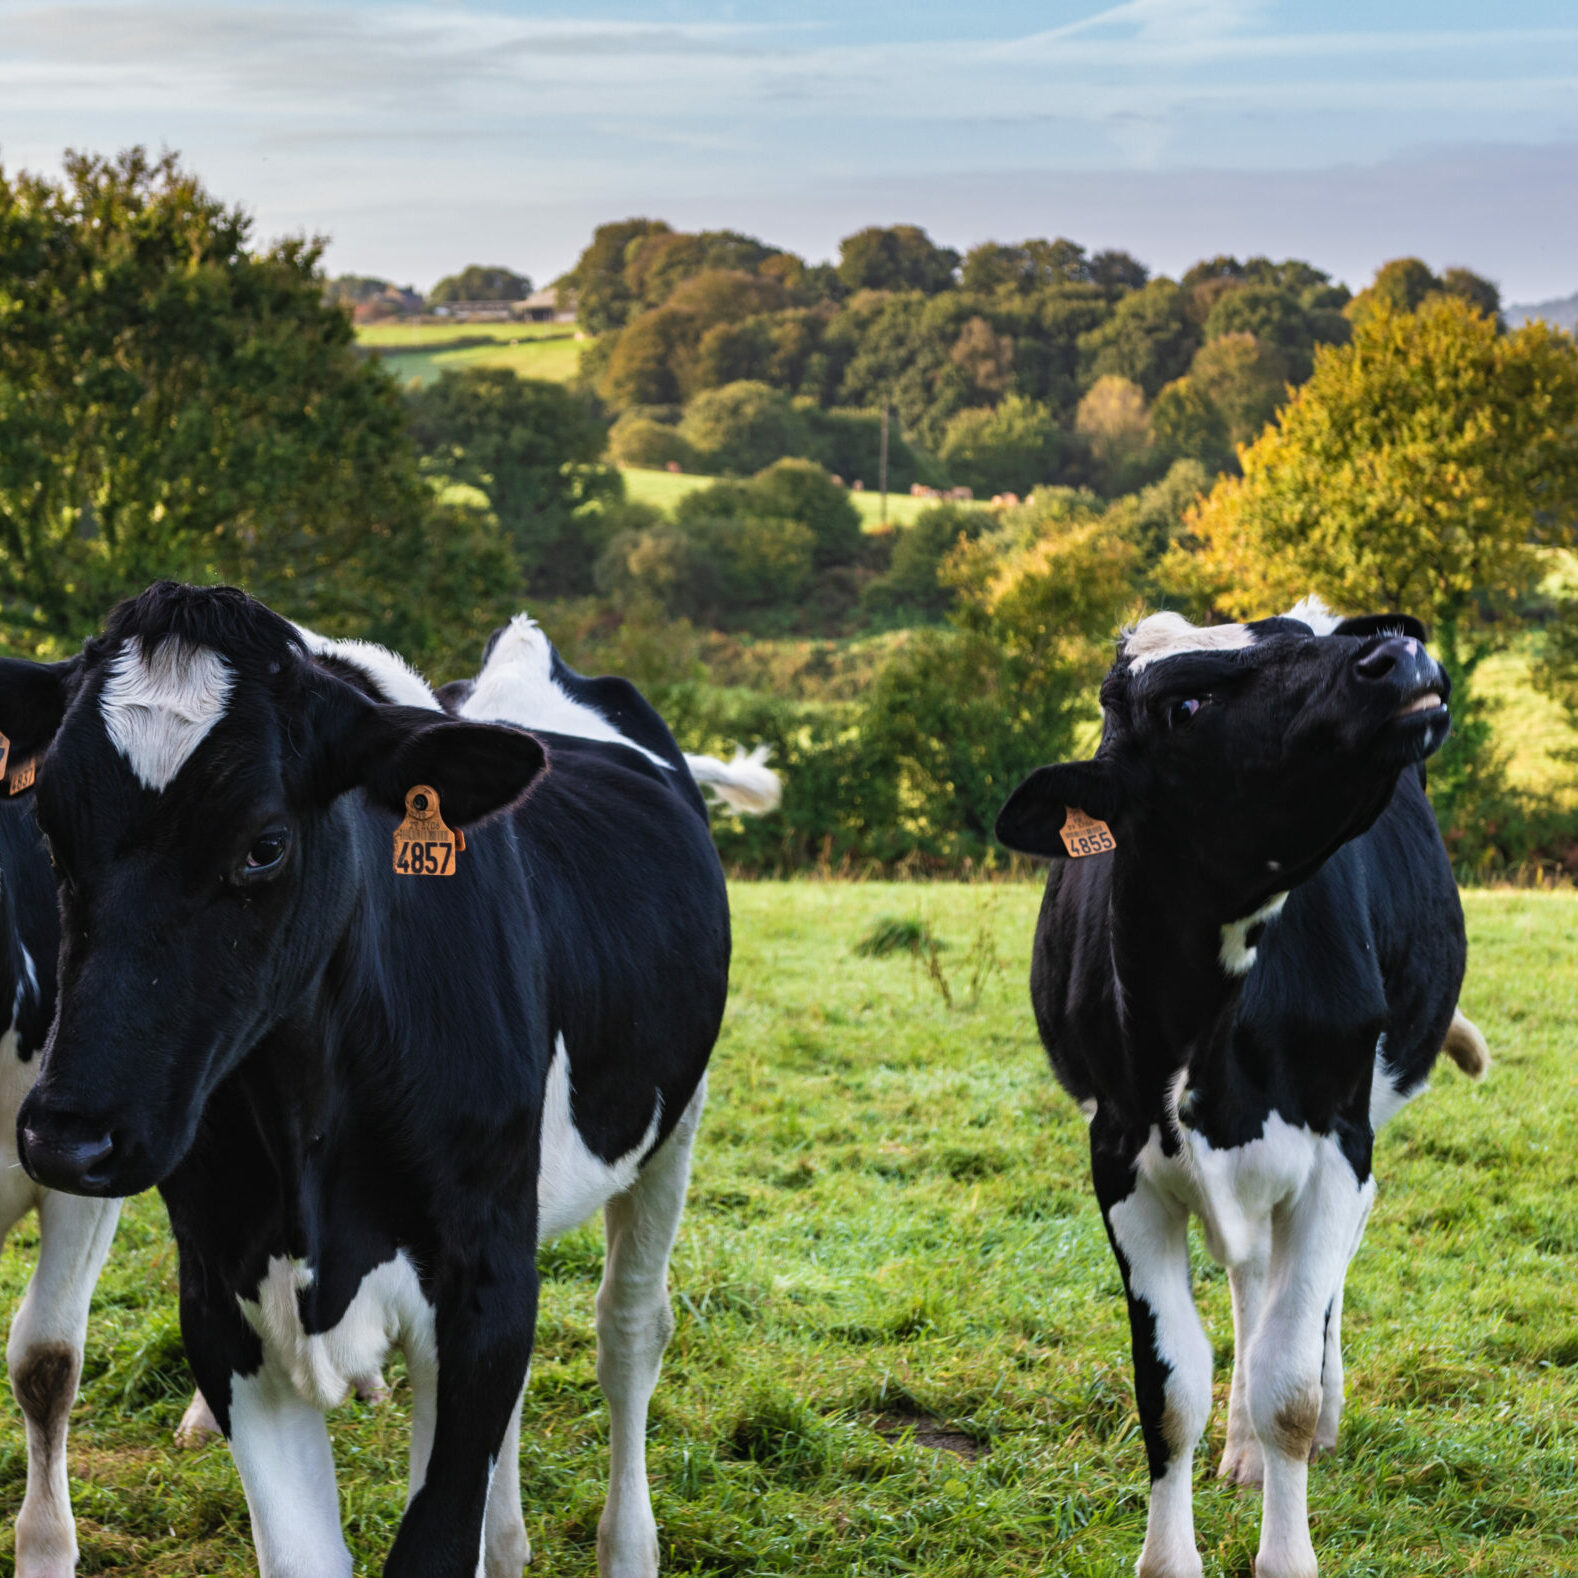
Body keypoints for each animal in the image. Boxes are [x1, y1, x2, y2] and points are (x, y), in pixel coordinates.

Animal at [0, 590, 776, 1578]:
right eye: (49, 831)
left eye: (264, 846)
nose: (68, 1138)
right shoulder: (222, 1301)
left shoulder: (480, 1284)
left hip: (671, 1127)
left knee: (629, 1330)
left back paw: (628, 1545)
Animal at [990, 596, 1483, 1578]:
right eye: (1183, 708)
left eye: (1304, 648)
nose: (1395, 654)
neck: (1204, 1030)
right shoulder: (1119, 1158)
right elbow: (1170, 1386)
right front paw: (1172, 1553)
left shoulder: (1336, 1149)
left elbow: (1288, 1384)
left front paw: (1288, 1543)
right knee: (1254, 1287)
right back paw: (1244, 1452)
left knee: (1306, 1304)